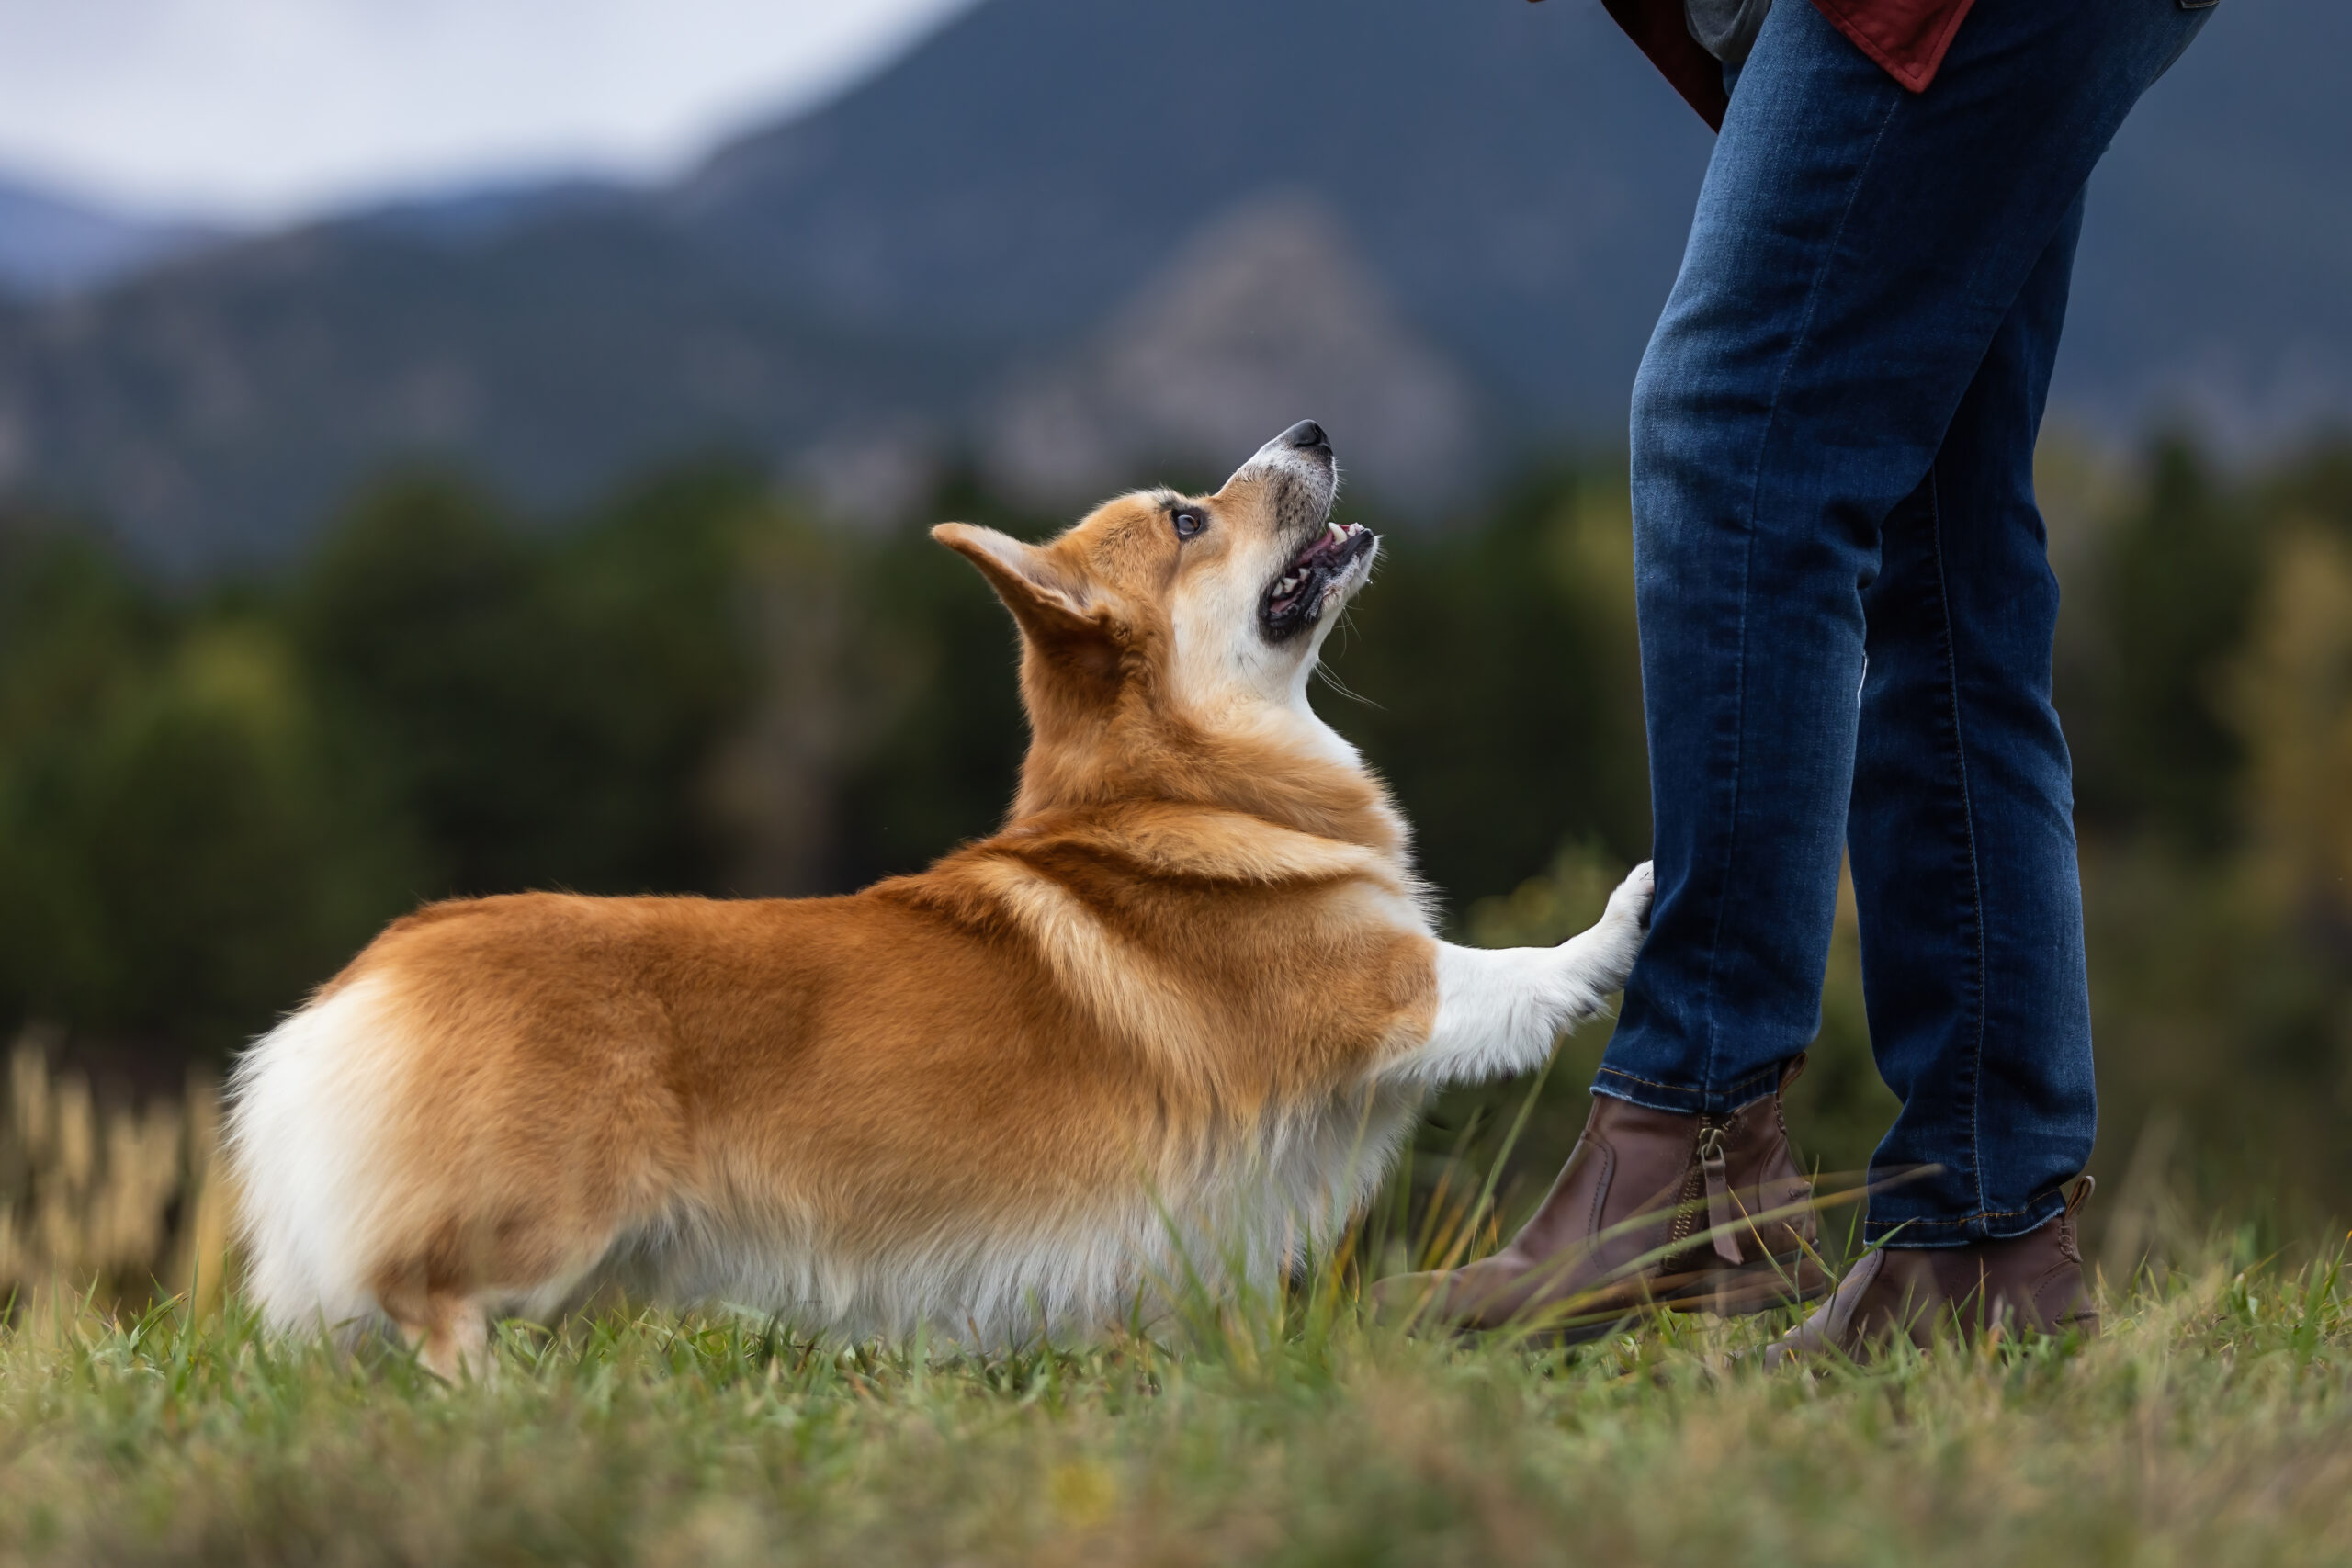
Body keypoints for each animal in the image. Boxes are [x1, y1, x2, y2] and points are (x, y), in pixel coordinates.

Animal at [224, 415, 1656, 1372]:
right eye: (1187, 517)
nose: (1310, 426)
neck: (1190, 785)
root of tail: (362, 983)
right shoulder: (1389, 995)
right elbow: (1522, 969)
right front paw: (1638, 897)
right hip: (542, 1224)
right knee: (422, 1295)